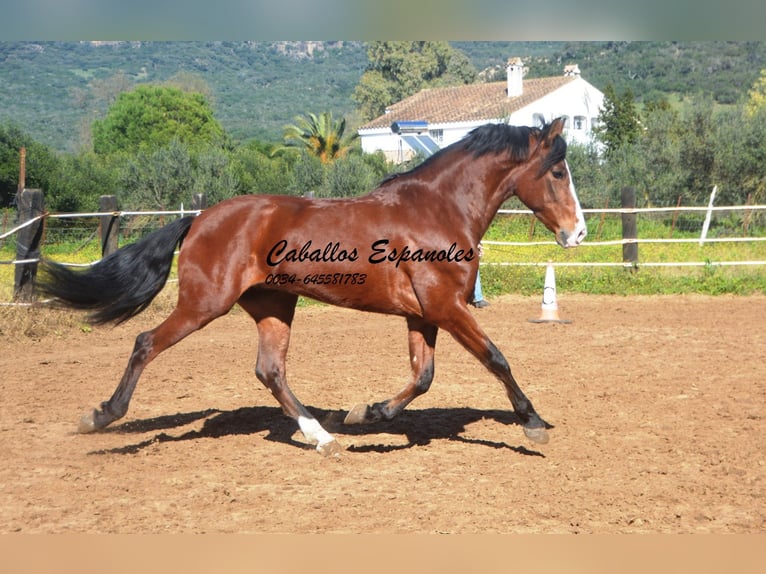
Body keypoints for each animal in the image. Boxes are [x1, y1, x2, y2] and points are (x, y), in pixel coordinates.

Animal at [40, 119, 588, 456]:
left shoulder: (425, 313)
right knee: (146, 343)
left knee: (270, 371)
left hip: (274, 304)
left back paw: (321, 436)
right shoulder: (447, 307)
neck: (438, 210)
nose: (577, 233)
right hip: (205, 303)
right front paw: (533, 423)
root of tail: (199, 218)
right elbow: (496, 358)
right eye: (558, 171)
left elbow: (423, 377)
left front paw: (366, 413)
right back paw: (102, 416)